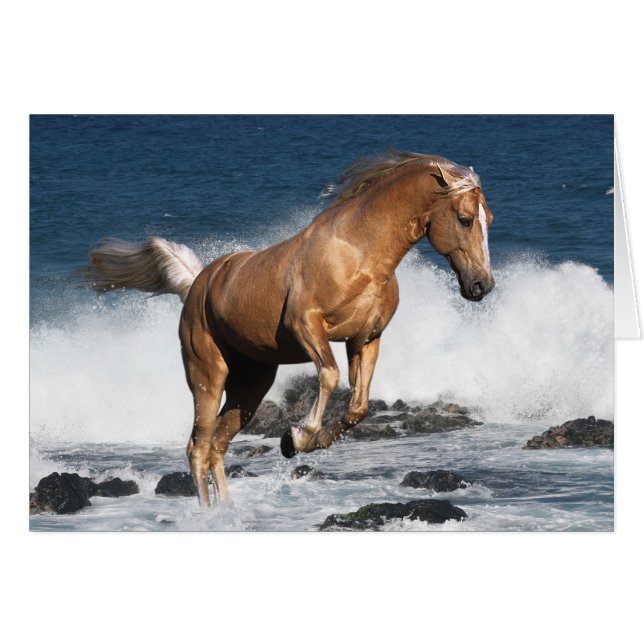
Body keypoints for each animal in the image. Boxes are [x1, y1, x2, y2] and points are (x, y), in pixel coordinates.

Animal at [84, 150, 495, 506]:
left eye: (488, 219)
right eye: (464, 219)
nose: (482, 285)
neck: (359, 253)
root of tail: (197, 284)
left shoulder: (365, 339)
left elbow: (358, 407)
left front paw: (300, 441)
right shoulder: (306, 326)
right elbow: (329, 375)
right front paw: (297, 436)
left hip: (250, 387)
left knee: (217, 445)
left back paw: (228, 512)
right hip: (207, 377)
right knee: (197, 447)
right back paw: (208, 514)